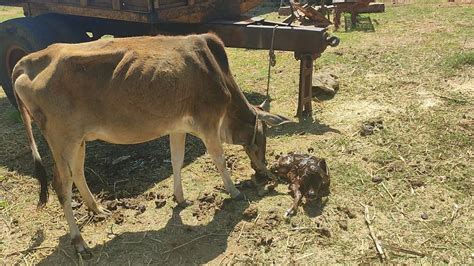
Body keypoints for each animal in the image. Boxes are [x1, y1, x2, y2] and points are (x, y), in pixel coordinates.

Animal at [12, 33, 290, 256]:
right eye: (262, 137)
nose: (263, 173)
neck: (215, 72)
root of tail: (30, 61)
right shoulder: (209, 124)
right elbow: (219, 160)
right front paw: (234, 191)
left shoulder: (177, 127)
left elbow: (177, 160)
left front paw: (180, 198)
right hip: (63, 141)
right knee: (62, 185)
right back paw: (80, 242)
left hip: (78, 141)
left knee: (78, 173)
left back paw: (98, 209)